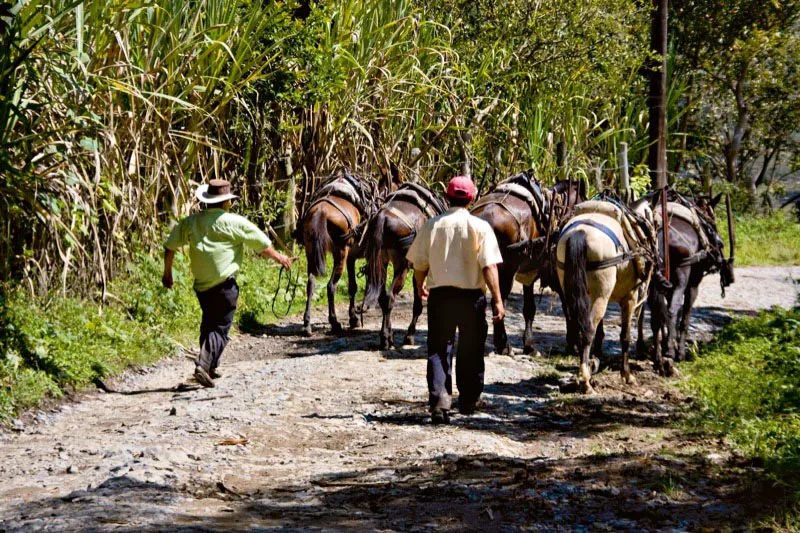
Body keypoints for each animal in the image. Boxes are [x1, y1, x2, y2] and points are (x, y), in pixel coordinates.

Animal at [364, 183, 450, 350]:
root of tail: (383, 218)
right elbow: (418, 303)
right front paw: (409, 336)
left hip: (380, 263)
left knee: (383, 298)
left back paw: (387, 336)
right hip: (402, 265)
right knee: (390, 297)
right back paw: (386, 338)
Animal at [468, 172, 588, 356]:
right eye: (584, 200)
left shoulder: (528, 272)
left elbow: (530, 308)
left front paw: (530, 345)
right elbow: (566, 306)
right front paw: (572, 344)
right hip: (506, 270)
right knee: (498, 302)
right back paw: (503, 344)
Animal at [644, 192, 736, 374]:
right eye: (712, 221)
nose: (719, 243)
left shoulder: (666, 285)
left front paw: (668, 343)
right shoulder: (692, 285)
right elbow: (684, 316)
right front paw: (679, 351)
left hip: (654, 282)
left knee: (657, 316)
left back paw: (658, 357)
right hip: (681, 275)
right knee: (671, 310)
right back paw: (670, 352)